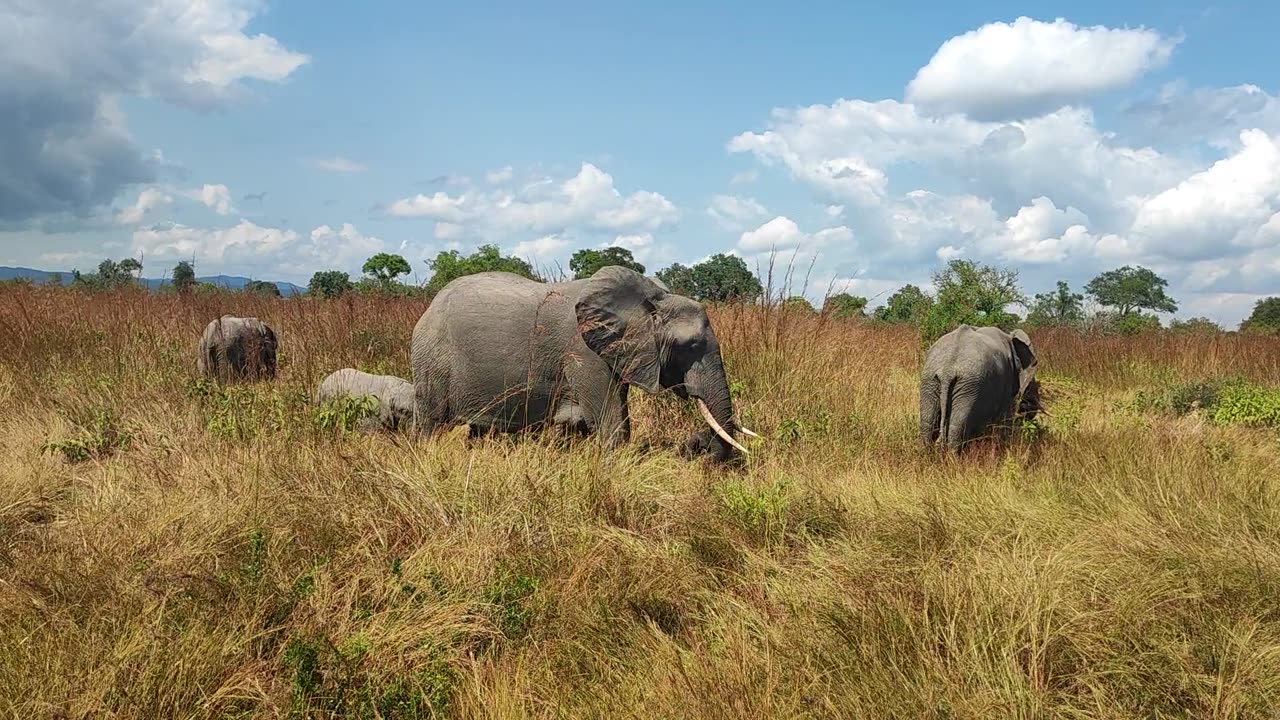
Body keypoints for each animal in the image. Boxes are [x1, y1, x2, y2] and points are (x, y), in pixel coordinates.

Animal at [409, 263, 752, 458]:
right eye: (689, 346)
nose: (696, 444)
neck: (650, 300)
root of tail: (428, 309)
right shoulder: (584, 351)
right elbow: (611, 423)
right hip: (432, 362)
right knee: (431, 423)